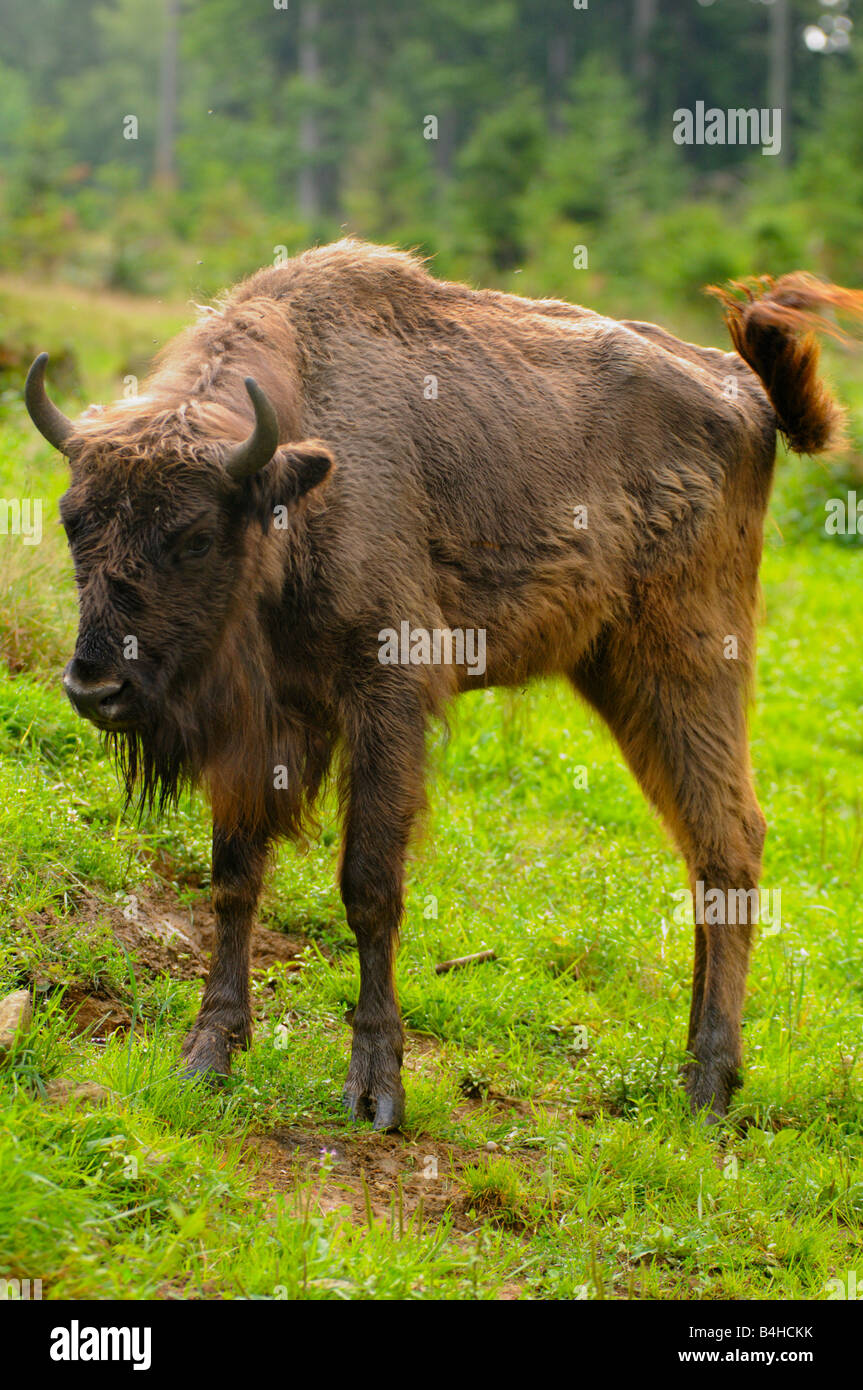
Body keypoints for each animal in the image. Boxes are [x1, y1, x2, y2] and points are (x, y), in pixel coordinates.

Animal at [26, 239, 861, 1128]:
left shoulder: (385, 698)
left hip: (685, 663)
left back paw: (706, 1089)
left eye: (191, 536)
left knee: (729, 839)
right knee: (705, 847)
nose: (95, 688)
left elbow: (368, 885)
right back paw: (699, 1077)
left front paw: (374, 1088)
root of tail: (744, 392)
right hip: (618, 673)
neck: (298, 487)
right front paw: (209, 1052)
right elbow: (233, 876)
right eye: (73, 519)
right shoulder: (262, 728)